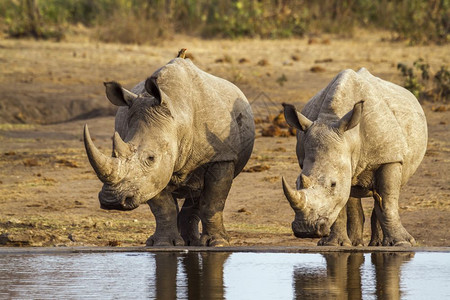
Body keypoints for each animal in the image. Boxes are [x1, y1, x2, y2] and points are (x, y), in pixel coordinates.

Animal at [82, 55, 255, 247]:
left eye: (151, 158)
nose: (112, 201)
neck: (177, 117)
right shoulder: (152, 175)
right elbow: (163, 206)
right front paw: (163, 244)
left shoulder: (222, 156)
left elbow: (213, 200)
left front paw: (217, 243)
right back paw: (185, 241)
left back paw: (192, 242)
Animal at [284, 68, 428, 246]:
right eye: (297, 182)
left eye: (333, 184)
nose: (305, 229)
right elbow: (340, 202)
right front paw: (332, 244)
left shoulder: (390, 157)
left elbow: (387, 201)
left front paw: (403, 243)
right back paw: (355, 243)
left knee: (384, 196)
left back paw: (378, 244)